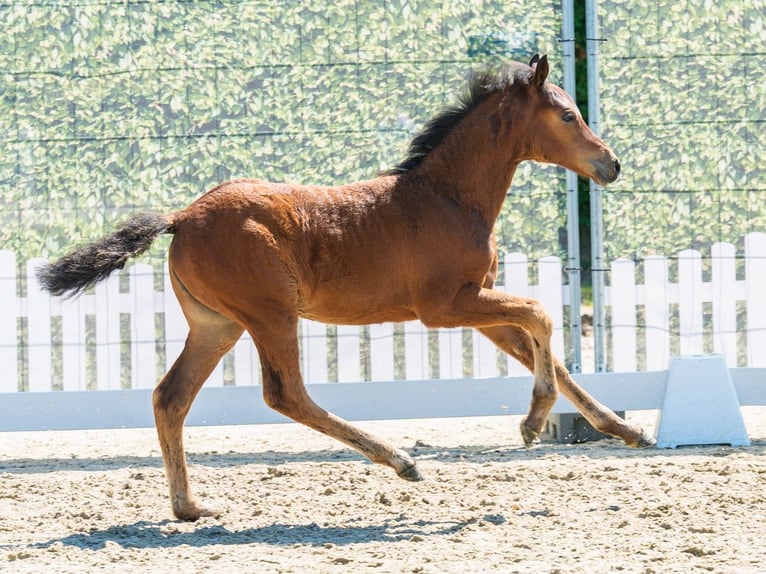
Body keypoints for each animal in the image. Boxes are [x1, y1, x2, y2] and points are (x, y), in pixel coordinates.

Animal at [37, 55, 654, 521]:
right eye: (568, 115)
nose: (612, 164)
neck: (446, 197)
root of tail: (182, 216)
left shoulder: (475, 303)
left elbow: (544, 349)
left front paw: (625, 430)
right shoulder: (446, 306)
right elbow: (541, 314)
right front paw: (531, 422)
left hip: (218, 324)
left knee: (171, 397)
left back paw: (190, 507)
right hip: (269, 315)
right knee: (284, 394)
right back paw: (403, 461)